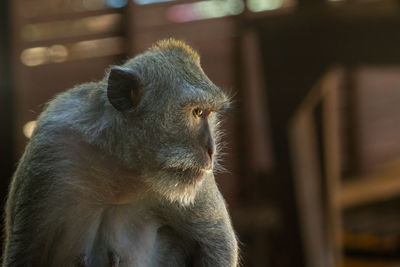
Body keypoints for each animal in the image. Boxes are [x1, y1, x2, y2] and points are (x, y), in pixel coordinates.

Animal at [2, 38, 238, 267]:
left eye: (208, 113)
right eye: (197, 112)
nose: (211, 150)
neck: (120, 162)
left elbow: (215, 240)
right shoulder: (49, 148)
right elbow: (26, 251)